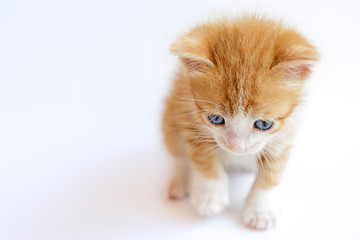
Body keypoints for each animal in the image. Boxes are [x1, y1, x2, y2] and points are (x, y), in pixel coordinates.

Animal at [162, 15, 318, 230]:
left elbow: (272, 172)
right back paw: (180, 181)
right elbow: (202, 157)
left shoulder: (284, 134)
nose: (236, 148)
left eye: (263, 124)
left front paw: (261, 209)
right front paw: (210, 196)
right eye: (216, 119)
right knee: (177, 154)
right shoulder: (188, 114)